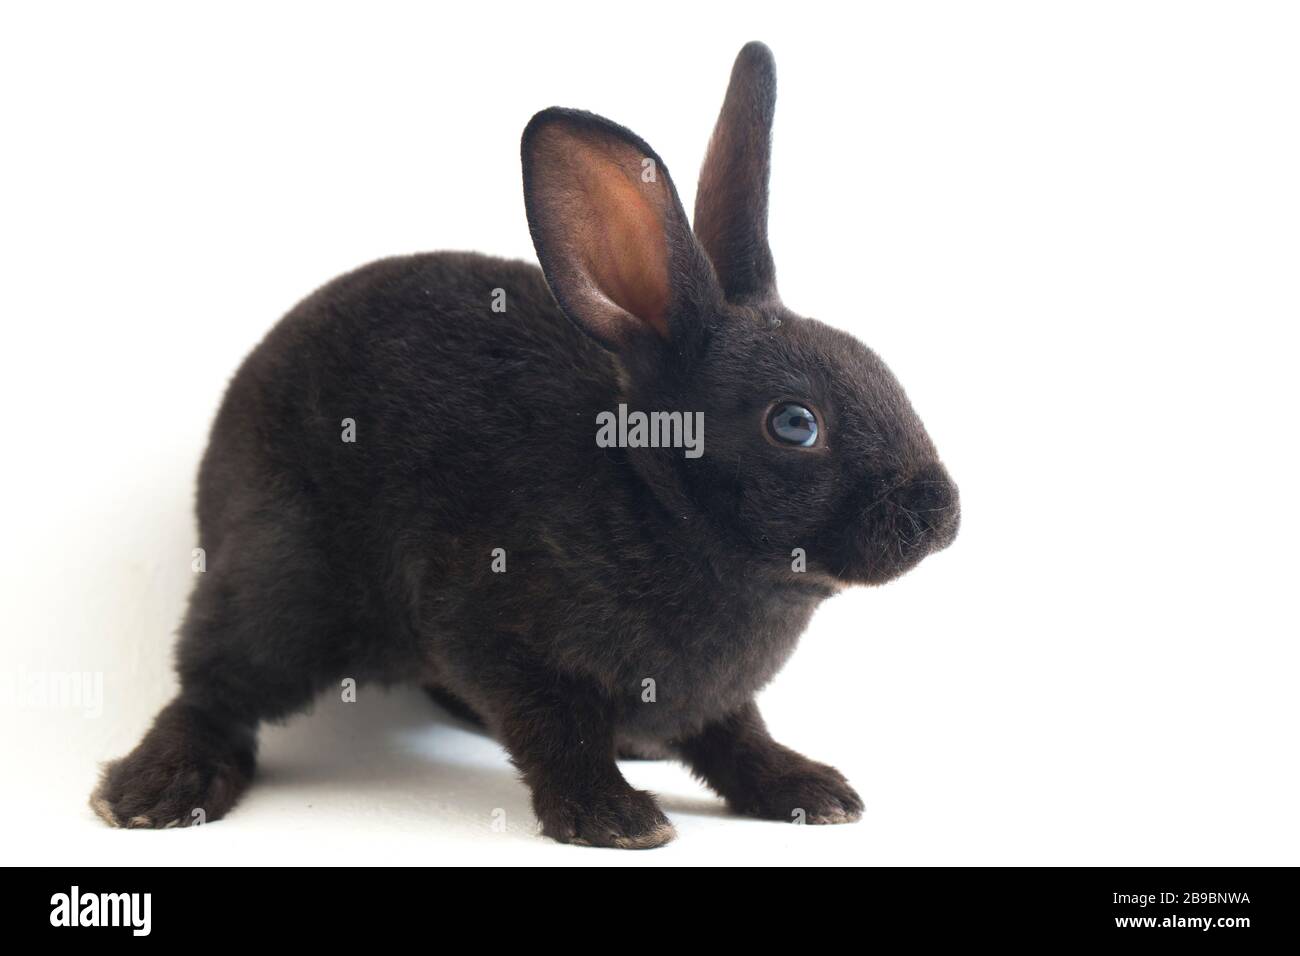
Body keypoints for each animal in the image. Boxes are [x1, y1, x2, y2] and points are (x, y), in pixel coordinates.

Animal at [90, 41, 959, 848]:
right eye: (794, 423)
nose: (944, 515)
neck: (657, 503)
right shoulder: (496, 634)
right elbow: (554, 732)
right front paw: (613, 818)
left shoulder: (711, 698)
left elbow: (735, 736)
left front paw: (809, 791)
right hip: (280, 581)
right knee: (212, 688)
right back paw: (155, 790)